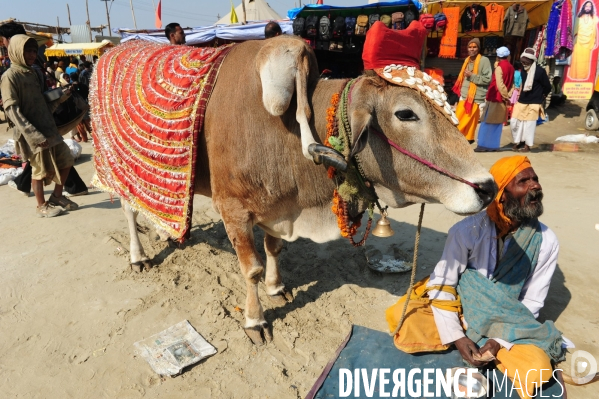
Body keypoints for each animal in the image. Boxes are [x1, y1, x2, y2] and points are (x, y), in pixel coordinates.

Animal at [91, 21, 496, 346]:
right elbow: (251, 269)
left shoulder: (278, 209)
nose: (487, 188)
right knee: (128, 209)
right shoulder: (233, 210)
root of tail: (113, 50)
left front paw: (276, 286)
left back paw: (165, 230)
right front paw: (255, 320)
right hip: (118, 167)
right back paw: (139, 255)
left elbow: (274, 249)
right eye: (406, 113)